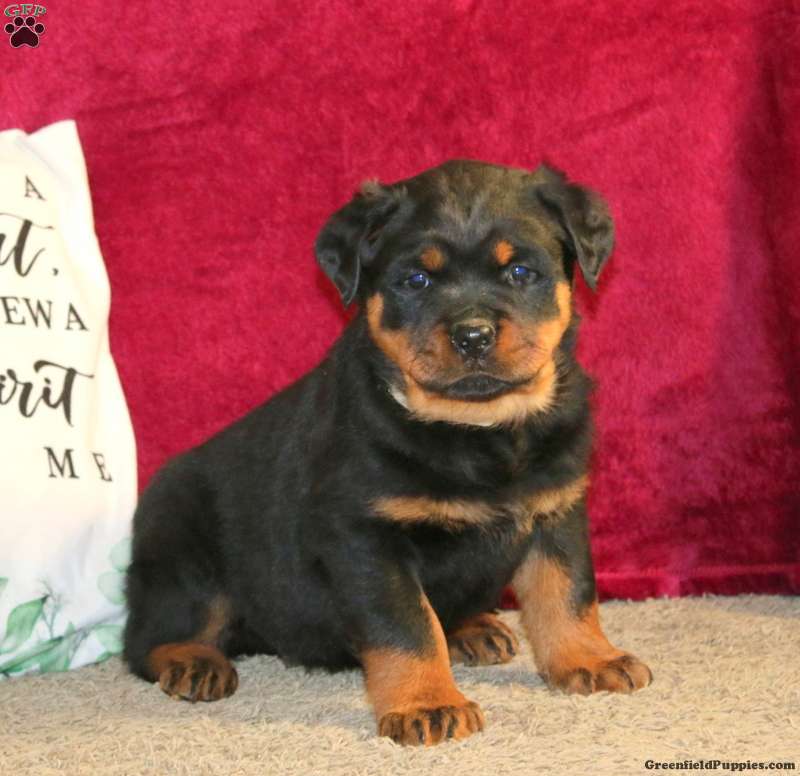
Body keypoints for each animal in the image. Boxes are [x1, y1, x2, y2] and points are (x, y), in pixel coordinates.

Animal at [123, 159, 652, 746]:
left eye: (520, 272)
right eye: (416, 280)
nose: (473, 335)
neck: (476, 429)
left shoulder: (557, 509)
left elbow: (567, 593)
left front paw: (590, 658)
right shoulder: (365, 536)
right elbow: (408, 626)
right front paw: (427, 703)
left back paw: (473, 629)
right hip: (184, 557)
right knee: (148, 637)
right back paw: (194, 662)